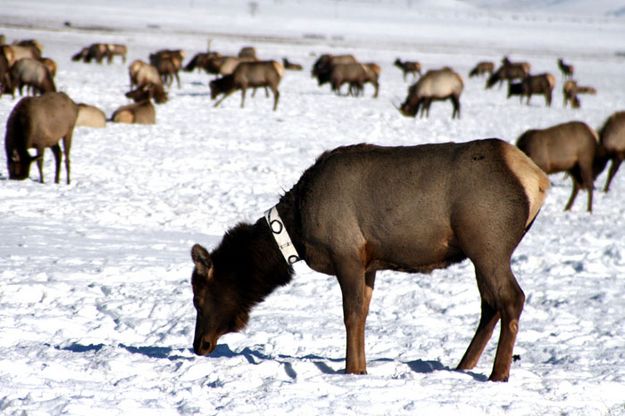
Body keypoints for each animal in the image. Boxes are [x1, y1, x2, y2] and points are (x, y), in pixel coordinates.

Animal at [189, 138, 544, 382]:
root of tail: (538, 180)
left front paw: (352, 370)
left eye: (198, 297)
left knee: (512, 298)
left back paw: (498, 374)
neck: (297, 229)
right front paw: (360, 368)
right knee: (490, 305)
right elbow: (363, 314)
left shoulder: (345, 252)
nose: (200, 344)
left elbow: (351, 314)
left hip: (487, 244)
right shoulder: (368, 262)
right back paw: (463, 365)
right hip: (481, 253)